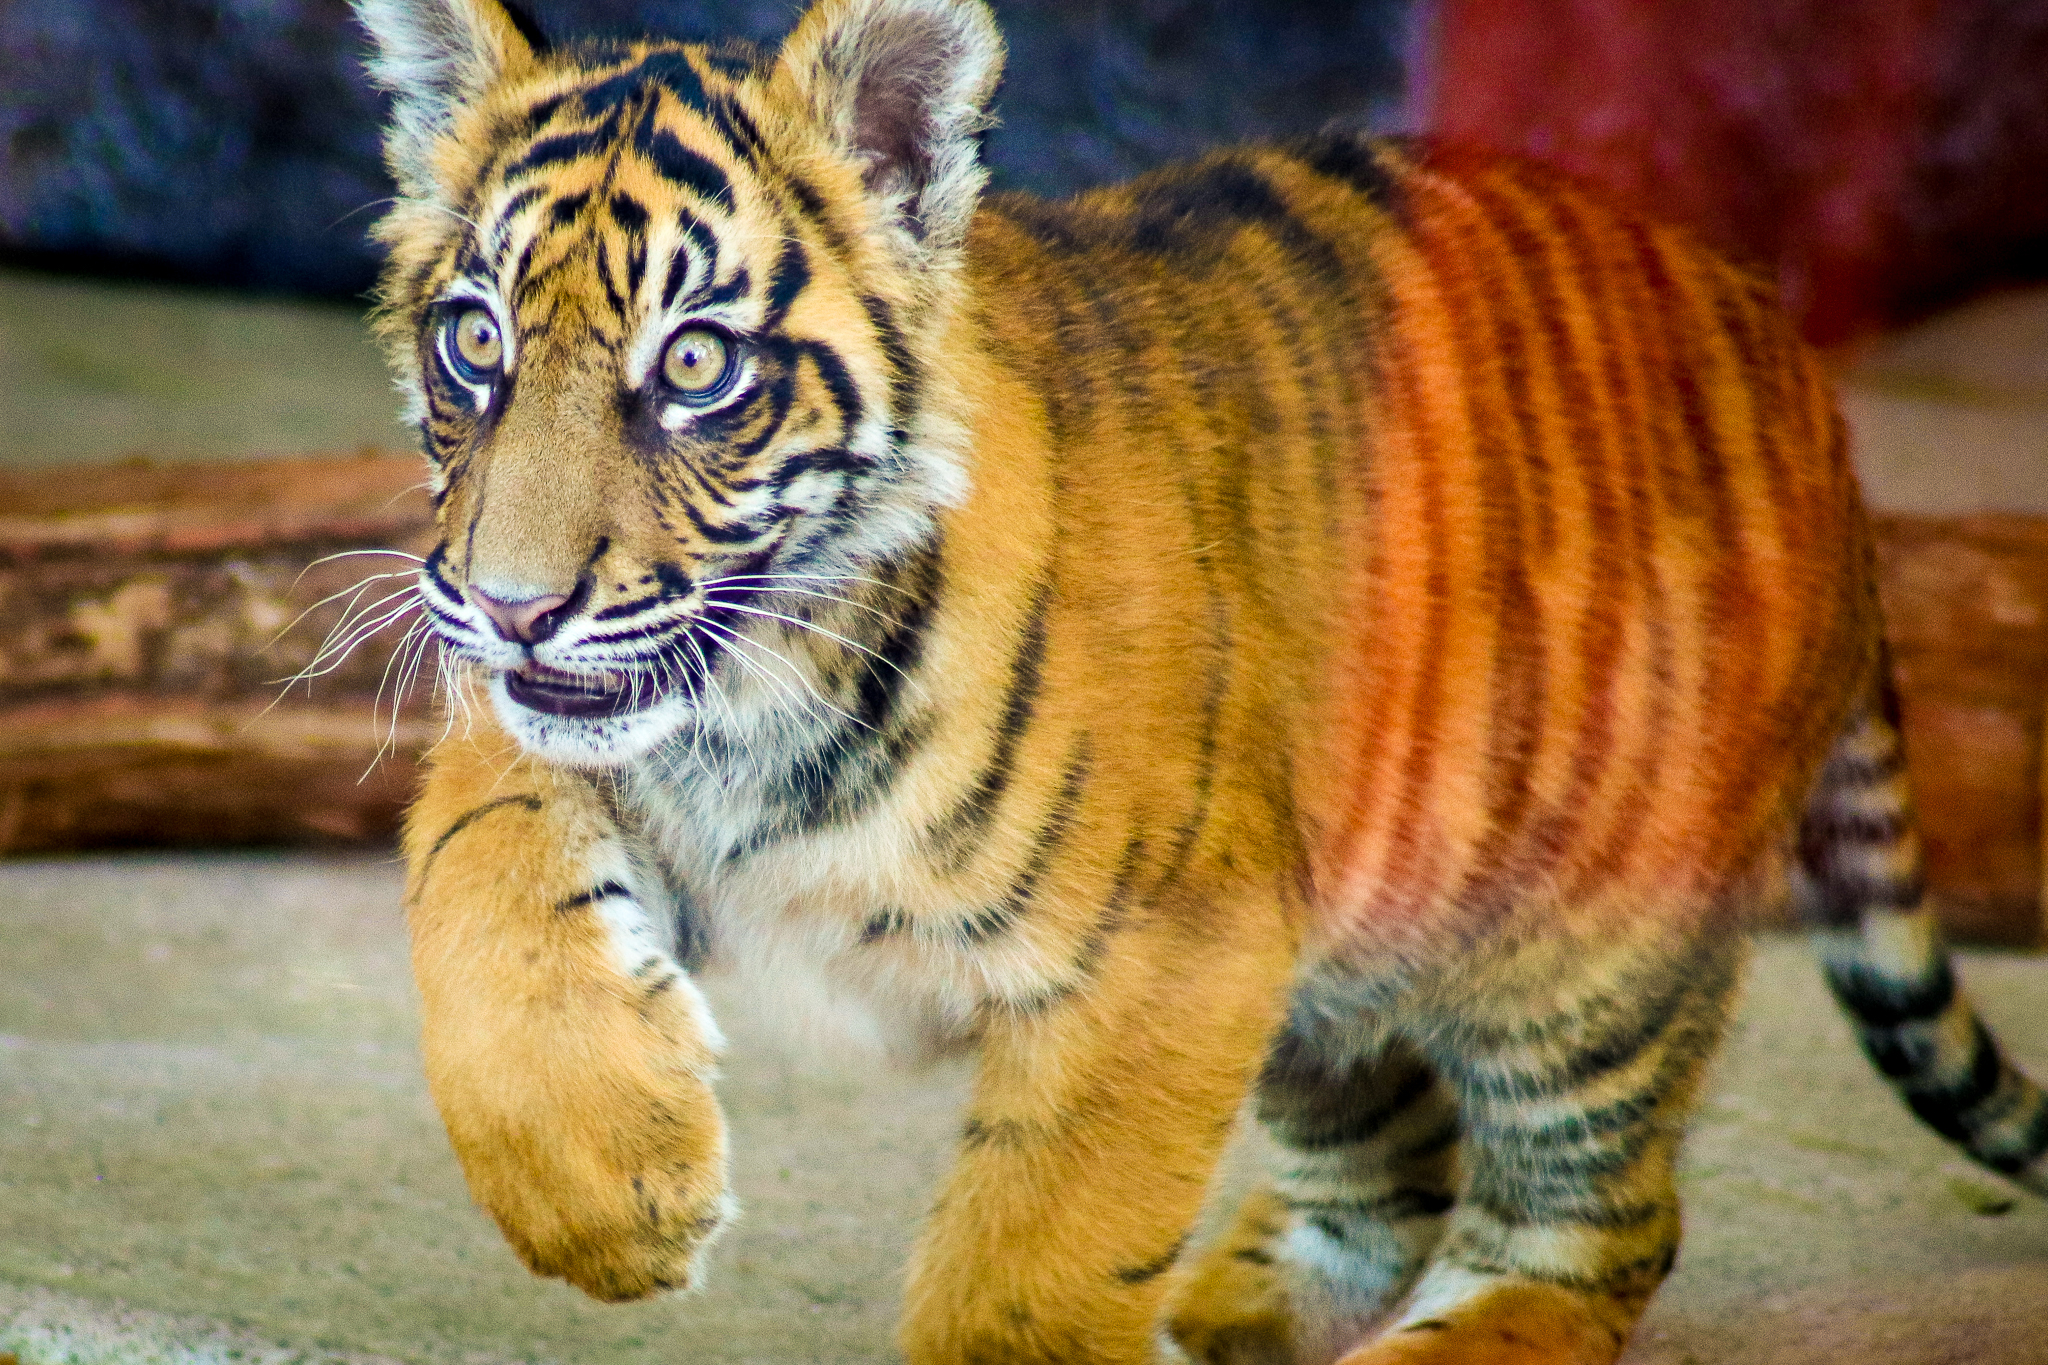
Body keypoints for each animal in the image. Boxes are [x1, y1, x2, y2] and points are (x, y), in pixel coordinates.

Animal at [351, 0, 2048, 1361]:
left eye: (697, 367)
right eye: (475, 342)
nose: (510, 608)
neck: (756, 703)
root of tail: (1809, 384)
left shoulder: (1171, 947)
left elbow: (1033, 1268)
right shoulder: (529, 738)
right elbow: (486, 904)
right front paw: (609, 1198)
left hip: (1588, 957)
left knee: (1587, 1235)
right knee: (1393, 1164)